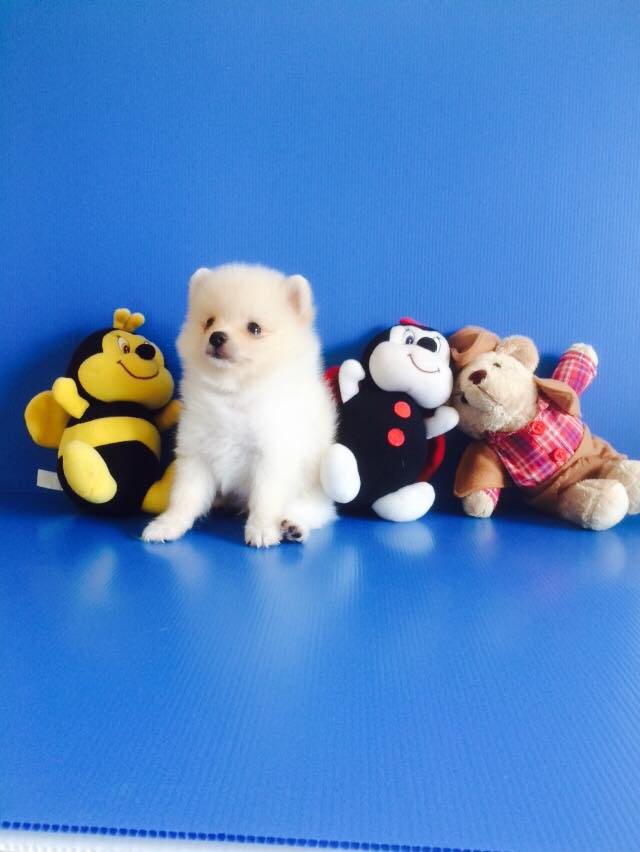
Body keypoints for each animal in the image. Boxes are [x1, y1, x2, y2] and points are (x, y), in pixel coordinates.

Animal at [142, 263, 337, 547]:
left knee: (317, 510)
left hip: (314, 485)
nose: (216, 337)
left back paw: (293, 526)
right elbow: (184, 497)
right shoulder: (197, 452)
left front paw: (262, 529)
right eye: (209, 322)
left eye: (254, 328)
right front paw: (168, 524)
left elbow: (265, 499)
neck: (234, 394)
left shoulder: (273, 455)